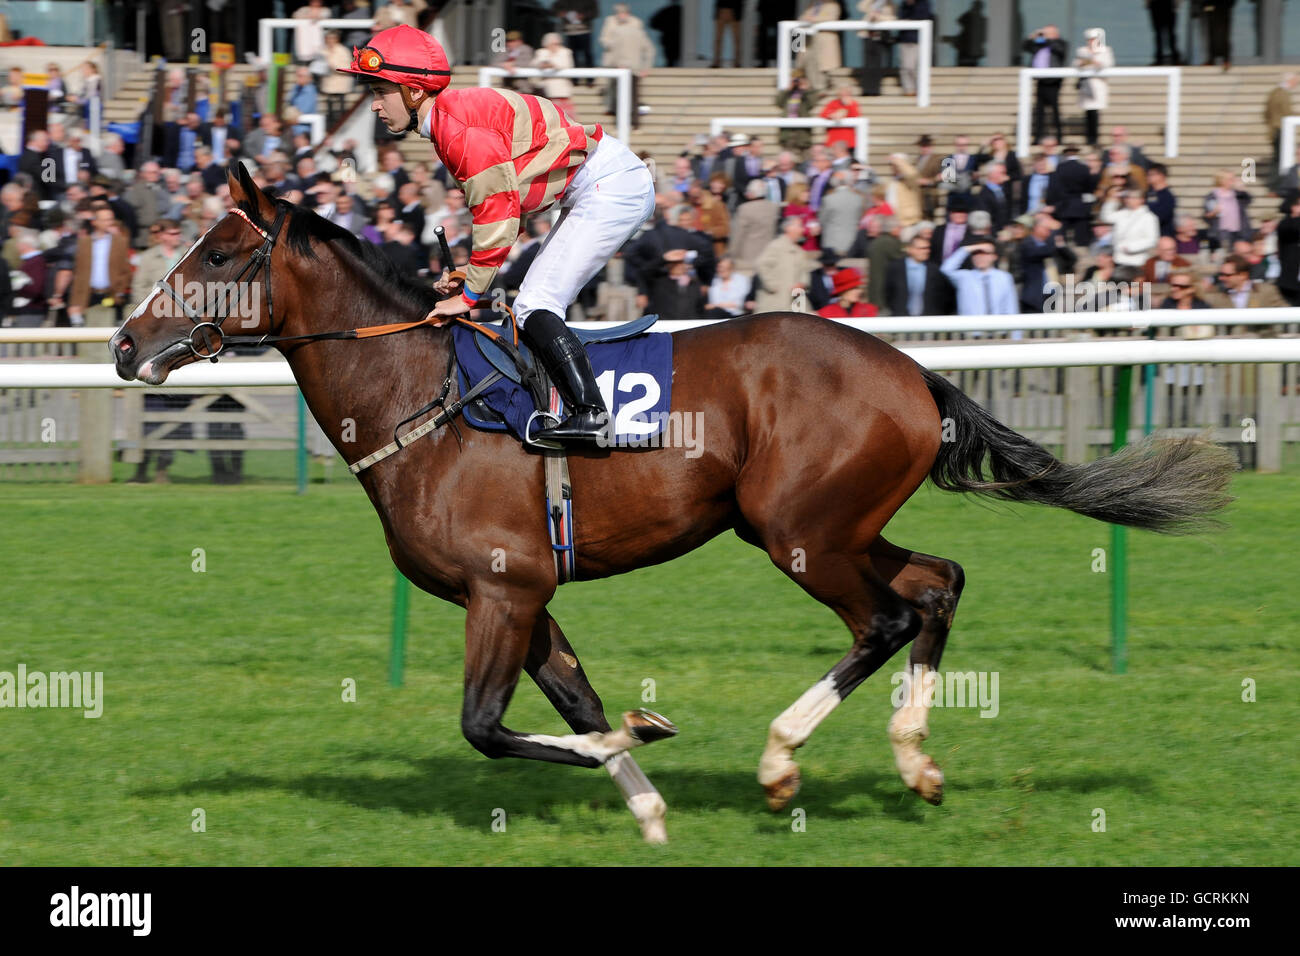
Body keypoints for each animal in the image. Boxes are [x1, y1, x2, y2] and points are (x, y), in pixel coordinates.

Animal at [109, 167, 1227, 842]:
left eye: (219, 254)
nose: (123, 343)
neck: (418, 398)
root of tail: (912, 370)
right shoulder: (525, 594)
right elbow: (574, 705)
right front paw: (646, 803)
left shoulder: (501, 588)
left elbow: (487, 726)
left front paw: (648, 736)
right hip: (835, 525)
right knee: (938, 583)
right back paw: (917, 764)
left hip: (799, 533)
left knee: (886, 617)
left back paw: (781, 761)